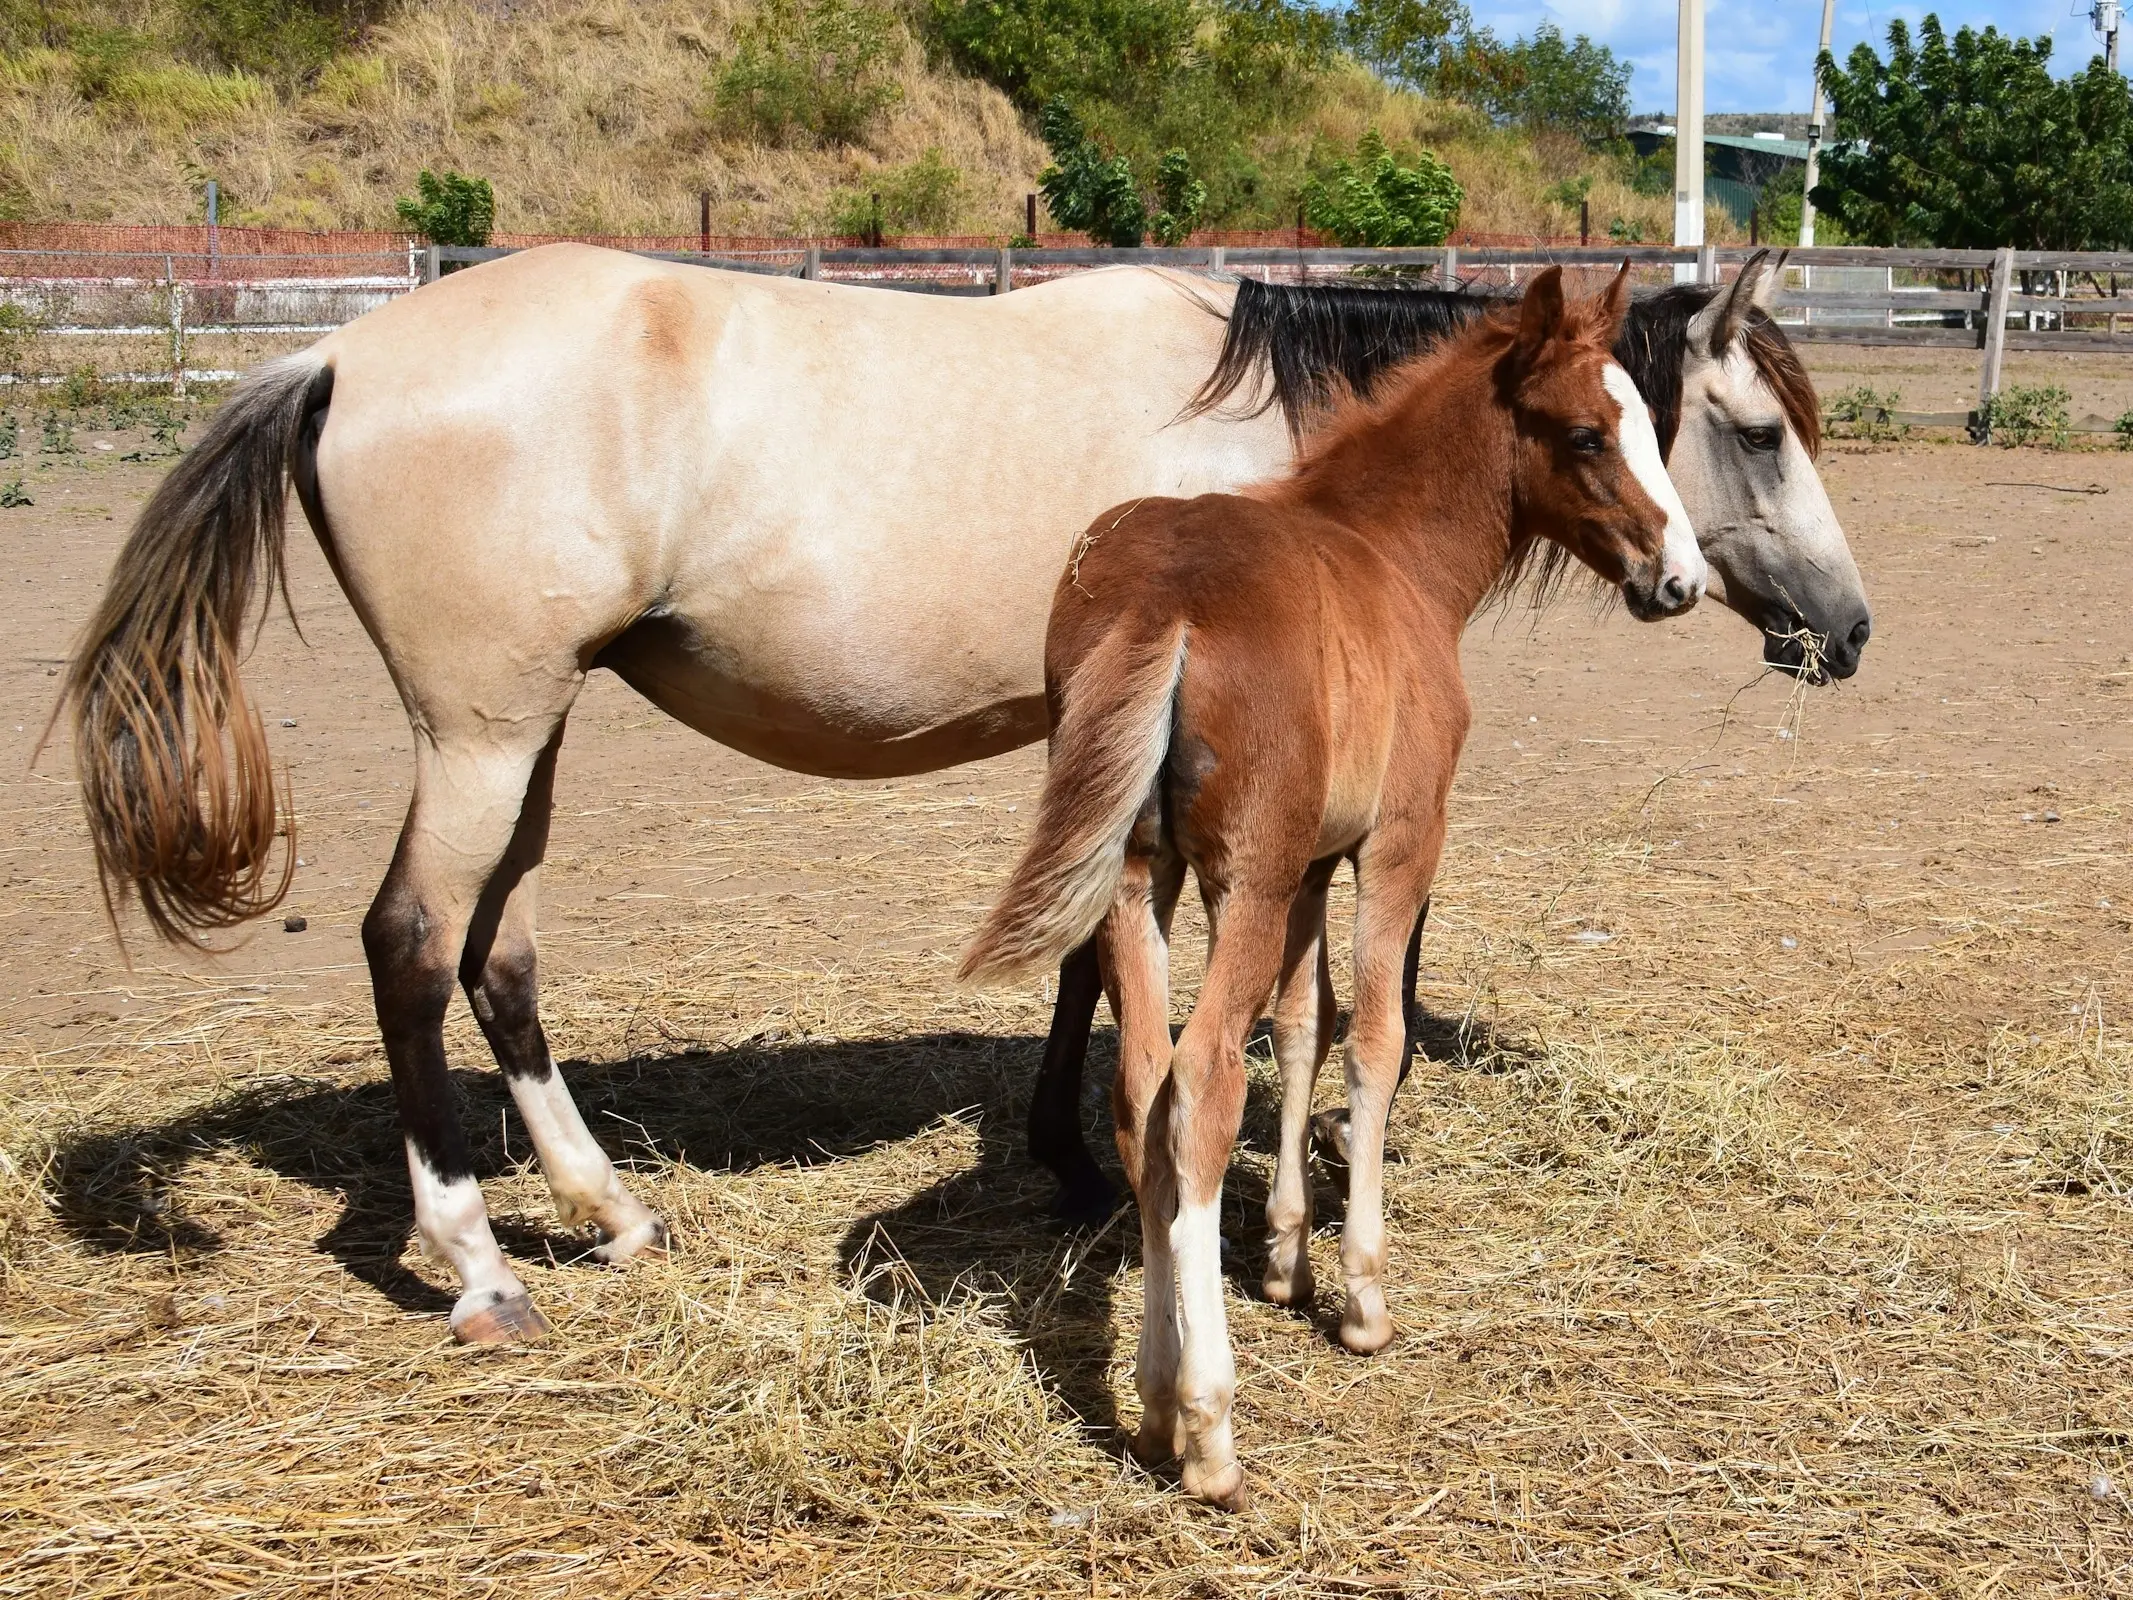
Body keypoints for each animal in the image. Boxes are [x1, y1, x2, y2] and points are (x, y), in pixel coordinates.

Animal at [964, 266, 1697, 1518]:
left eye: (1652, 423)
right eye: (1588, 434)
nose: (1681, 580)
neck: (1391, 555)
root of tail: (1165, 599)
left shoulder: (1309, 861)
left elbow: (1302, 1026)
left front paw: (1282, 1258)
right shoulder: (1397, 845)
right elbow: (1374, 1037)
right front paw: (1357, 1292)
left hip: (1143, 881)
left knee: (1144, 1087)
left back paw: (1151, 1400)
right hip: (1241, 879)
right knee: (1201, 1083)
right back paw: (1207, 1427)